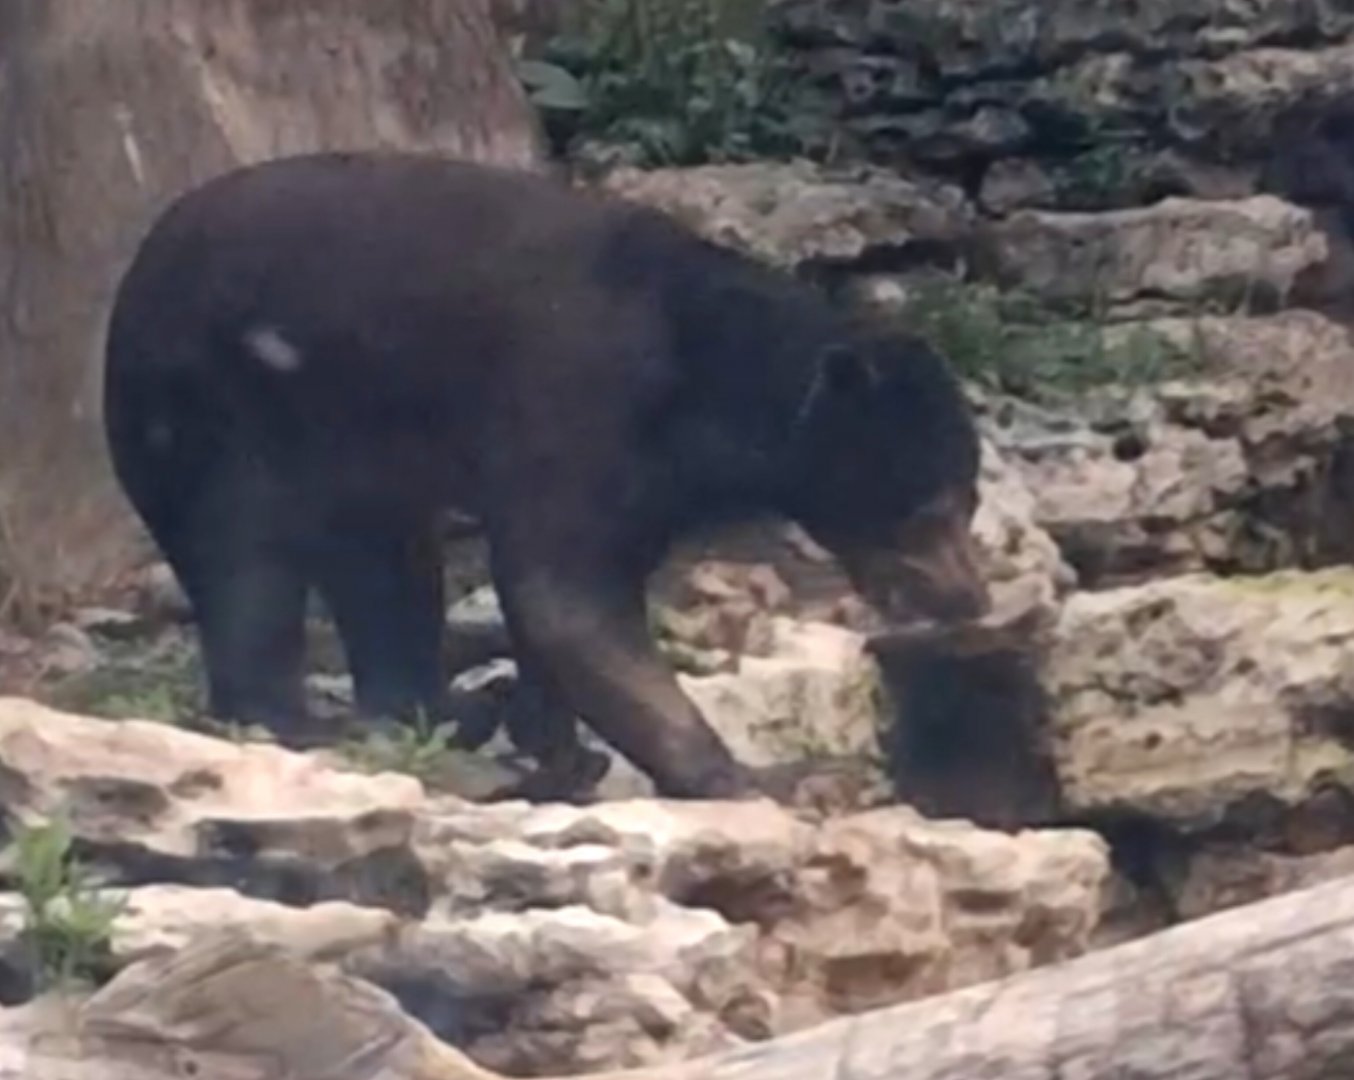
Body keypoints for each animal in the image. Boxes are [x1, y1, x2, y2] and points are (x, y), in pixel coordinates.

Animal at [101, 151, 990, 803]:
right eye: (926, 509)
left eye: (970, 501)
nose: (969, 596)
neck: (709, 389)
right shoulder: (581, 399)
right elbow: (567, 595)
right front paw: (758, 776)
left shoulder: (655, 480)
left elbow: (565, 602)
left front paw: (555, 744)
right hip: (220, 411)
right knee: (248, 562)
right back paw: (317, 720)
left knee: (387, 575)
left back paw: (444, 710)